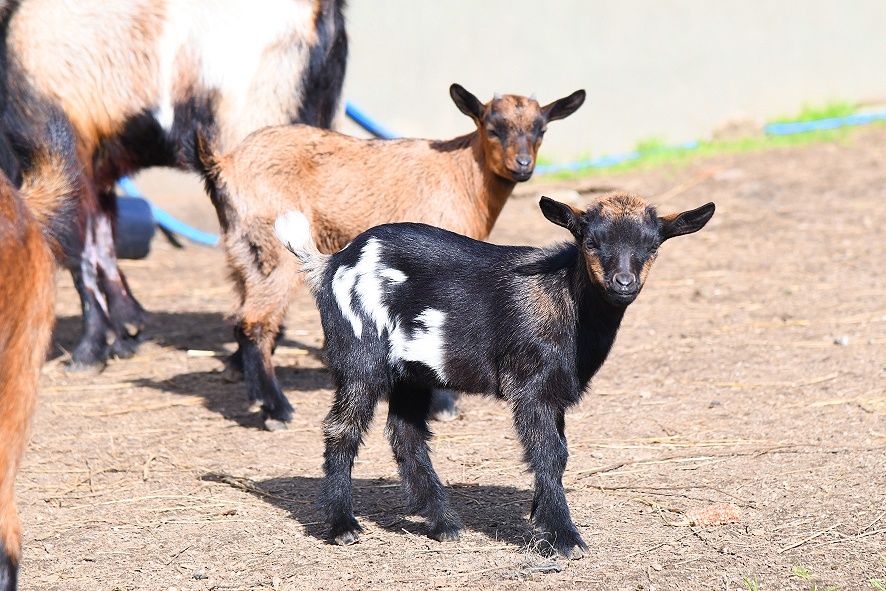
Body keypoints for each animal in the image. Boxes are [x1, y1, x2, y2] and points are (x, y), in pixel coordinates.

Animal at [1, 0, 347, 370]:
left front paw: (89, 351)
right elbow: (103, 246)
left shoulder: (63, 152)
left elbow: (78, 253)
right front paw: (126, 333)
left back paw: (245, 355)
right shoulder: (96, 169)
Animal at [196, 83, 585, 429]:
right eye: (492, 129)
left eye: (541, 130)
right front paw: (444, 404)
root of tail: (223, 164)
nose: (523, 164)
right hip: (273, 248)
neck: (463, 176)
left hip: (242, 247)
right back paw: (277, 410)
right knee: (255, 322)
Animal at [273, 192, 715, 558]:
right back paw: (342, 526)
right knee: (342, 428)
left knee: (405, 433)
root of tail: (332, 263)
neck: (564, 300)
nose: (623, 282)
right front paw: (563, 537)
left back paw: (444, 524)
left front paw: (542, 519)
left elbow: (559, 453)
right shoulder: (531, 388)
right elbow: (549, 452)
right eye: (590, 242)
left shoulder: (556, 391)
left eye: (652, 246)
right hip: (360, 356)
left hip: (412, 372)